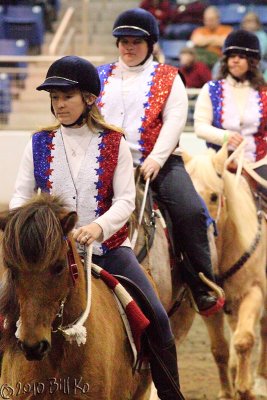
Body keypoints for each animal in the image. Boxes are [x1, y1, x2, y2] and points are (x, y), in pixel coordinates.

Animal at [184, 145, 267, 400]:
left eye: (213, 196)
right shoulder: (209, 305)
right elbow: (219, 349)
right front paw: (227, 391)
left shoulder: (254, 293)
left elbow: (243, 340)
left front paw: (245, 388)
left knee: (264, 330)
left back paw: (260, 380)